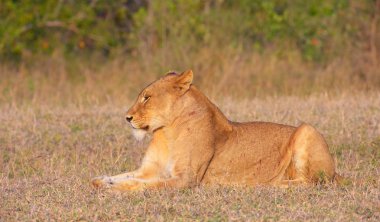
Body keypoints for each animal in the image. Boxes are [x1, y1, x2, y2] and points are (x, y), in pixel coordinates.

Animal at [90, 70, 342, 191]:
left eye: (147, 97)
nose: (127, 117)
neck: (166, 132)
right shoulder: (149, 169)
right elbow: (122, 176)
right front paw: (102, 181)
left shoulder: (186, 178)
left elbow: (145, 185)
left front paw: (114, 189)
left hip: (307, 129)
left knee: (312, 182)